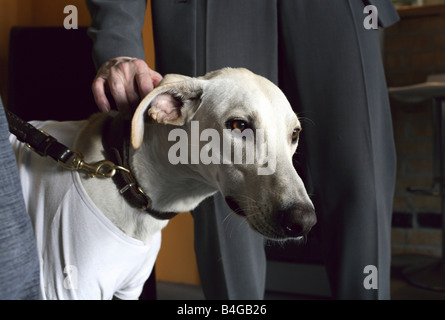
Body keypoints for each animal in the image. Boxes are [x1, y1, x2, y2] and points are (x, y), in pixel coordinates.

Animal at [10, 68, 316, 300]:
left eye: (294, 134)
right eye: (239, 125)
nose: (304, 221)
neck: (128, 181)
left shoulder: (129, 290)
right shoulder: (66, 288)